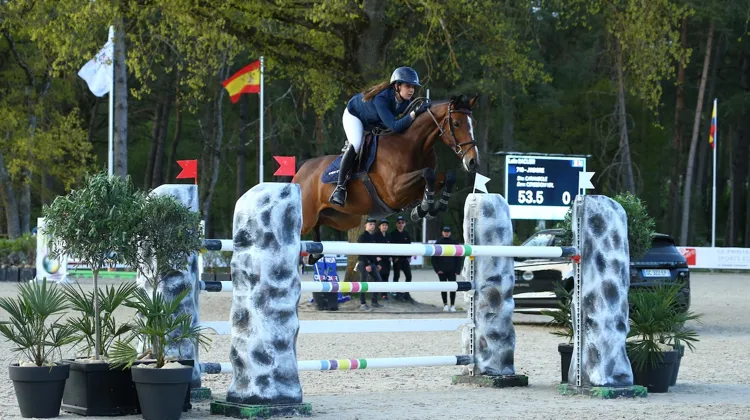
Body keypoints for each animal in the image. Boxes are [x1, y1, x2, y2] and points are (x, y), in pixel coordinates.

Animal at [293, 95, 480, 263]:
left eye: (473, 123)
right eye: (456, 123)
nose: (473, 162)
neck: (414, 145)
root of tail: (301, 169)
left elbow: (446, 176)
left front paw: (428, 207)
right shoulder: (393, 191)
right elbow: (427, 173)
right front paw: (425, 206)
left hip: (341, 218)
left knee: (318, 225)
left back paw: (314, 255)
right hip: (307, 217)